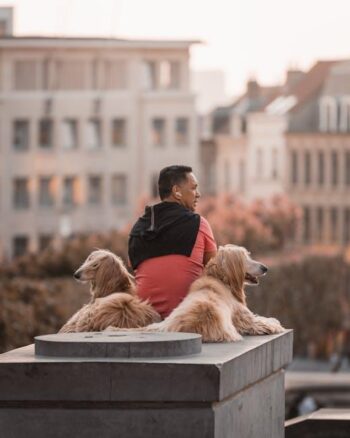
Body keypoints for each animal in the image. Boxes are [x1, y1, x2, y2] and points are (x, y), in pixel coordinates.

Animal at [106, 243, 284, 342]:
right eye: (246, 258)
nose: (265, 268)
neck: (219, 278)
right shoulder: (244, 318)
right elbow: (265, 321)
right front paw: (275, 323)